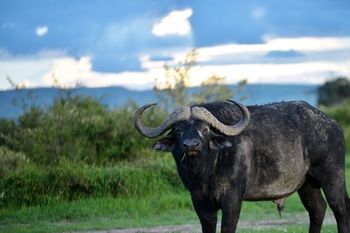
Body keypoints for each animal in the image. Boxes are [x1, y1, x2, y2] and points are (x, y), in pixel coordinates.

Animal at [133, 100, 348, 233]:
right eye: (177, 130)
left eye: (205, 129)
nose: (191, 145)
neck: (205, 173)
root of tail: (333, 125)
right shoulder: (199, 201)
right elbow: (208, 228)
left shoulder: (232, 198)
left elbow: (228, 228)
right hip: (306, 185)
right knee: (317, 210)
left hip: (332, 176)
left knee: (340, 209)